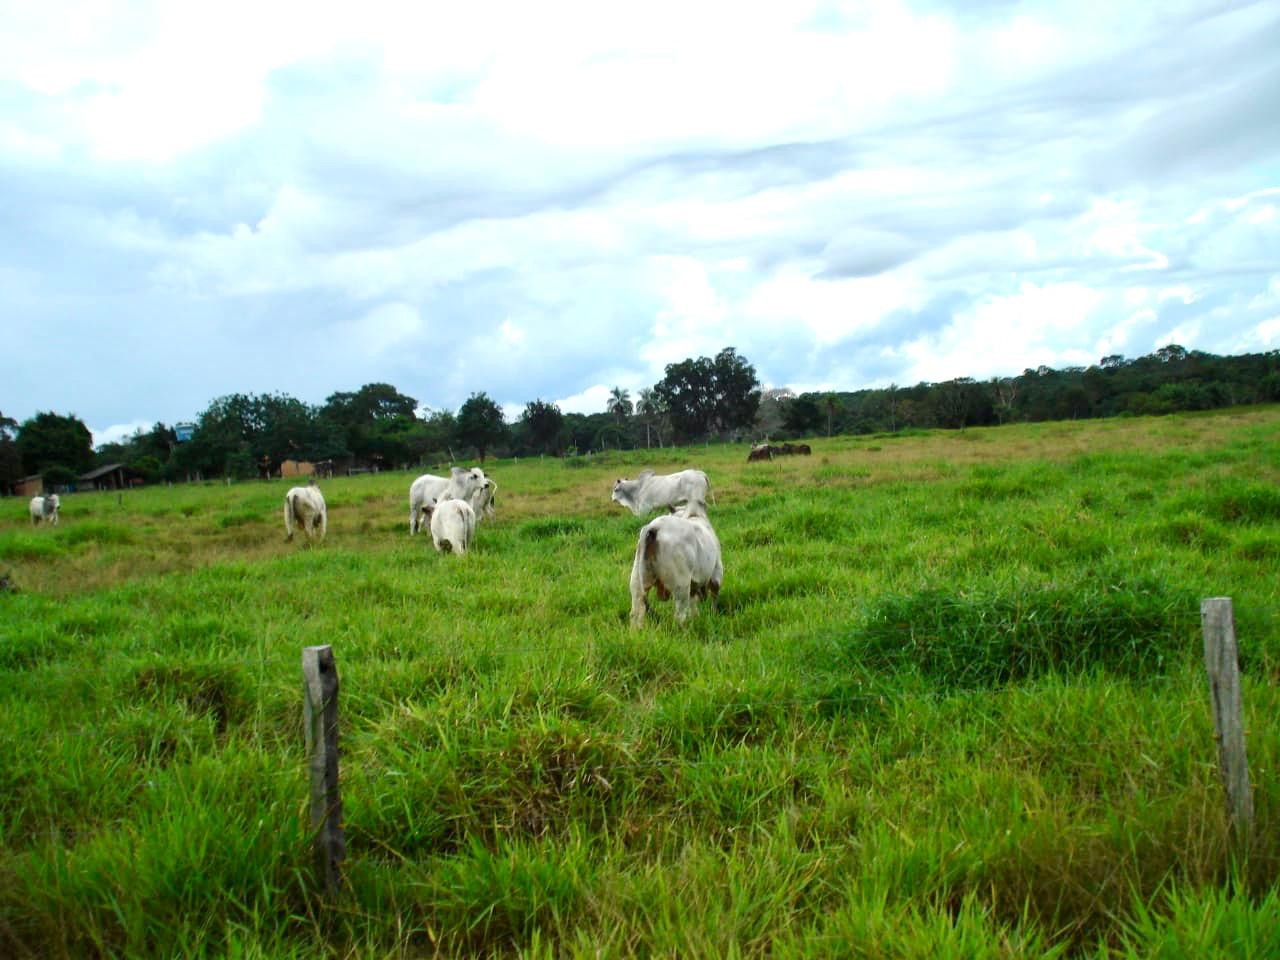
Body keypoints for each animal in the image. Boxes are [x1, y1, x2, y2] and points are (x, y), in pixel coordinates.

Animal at [627, 496, 721, 632]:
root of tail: (654, 528)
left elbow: (693, 604)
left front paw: (696, 617)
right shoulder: (717, 571)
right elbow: (714, 595)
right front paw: (713, 614)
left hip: (636, 584)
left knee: (636, 613)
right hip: (681, 586)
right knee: (679, 616)